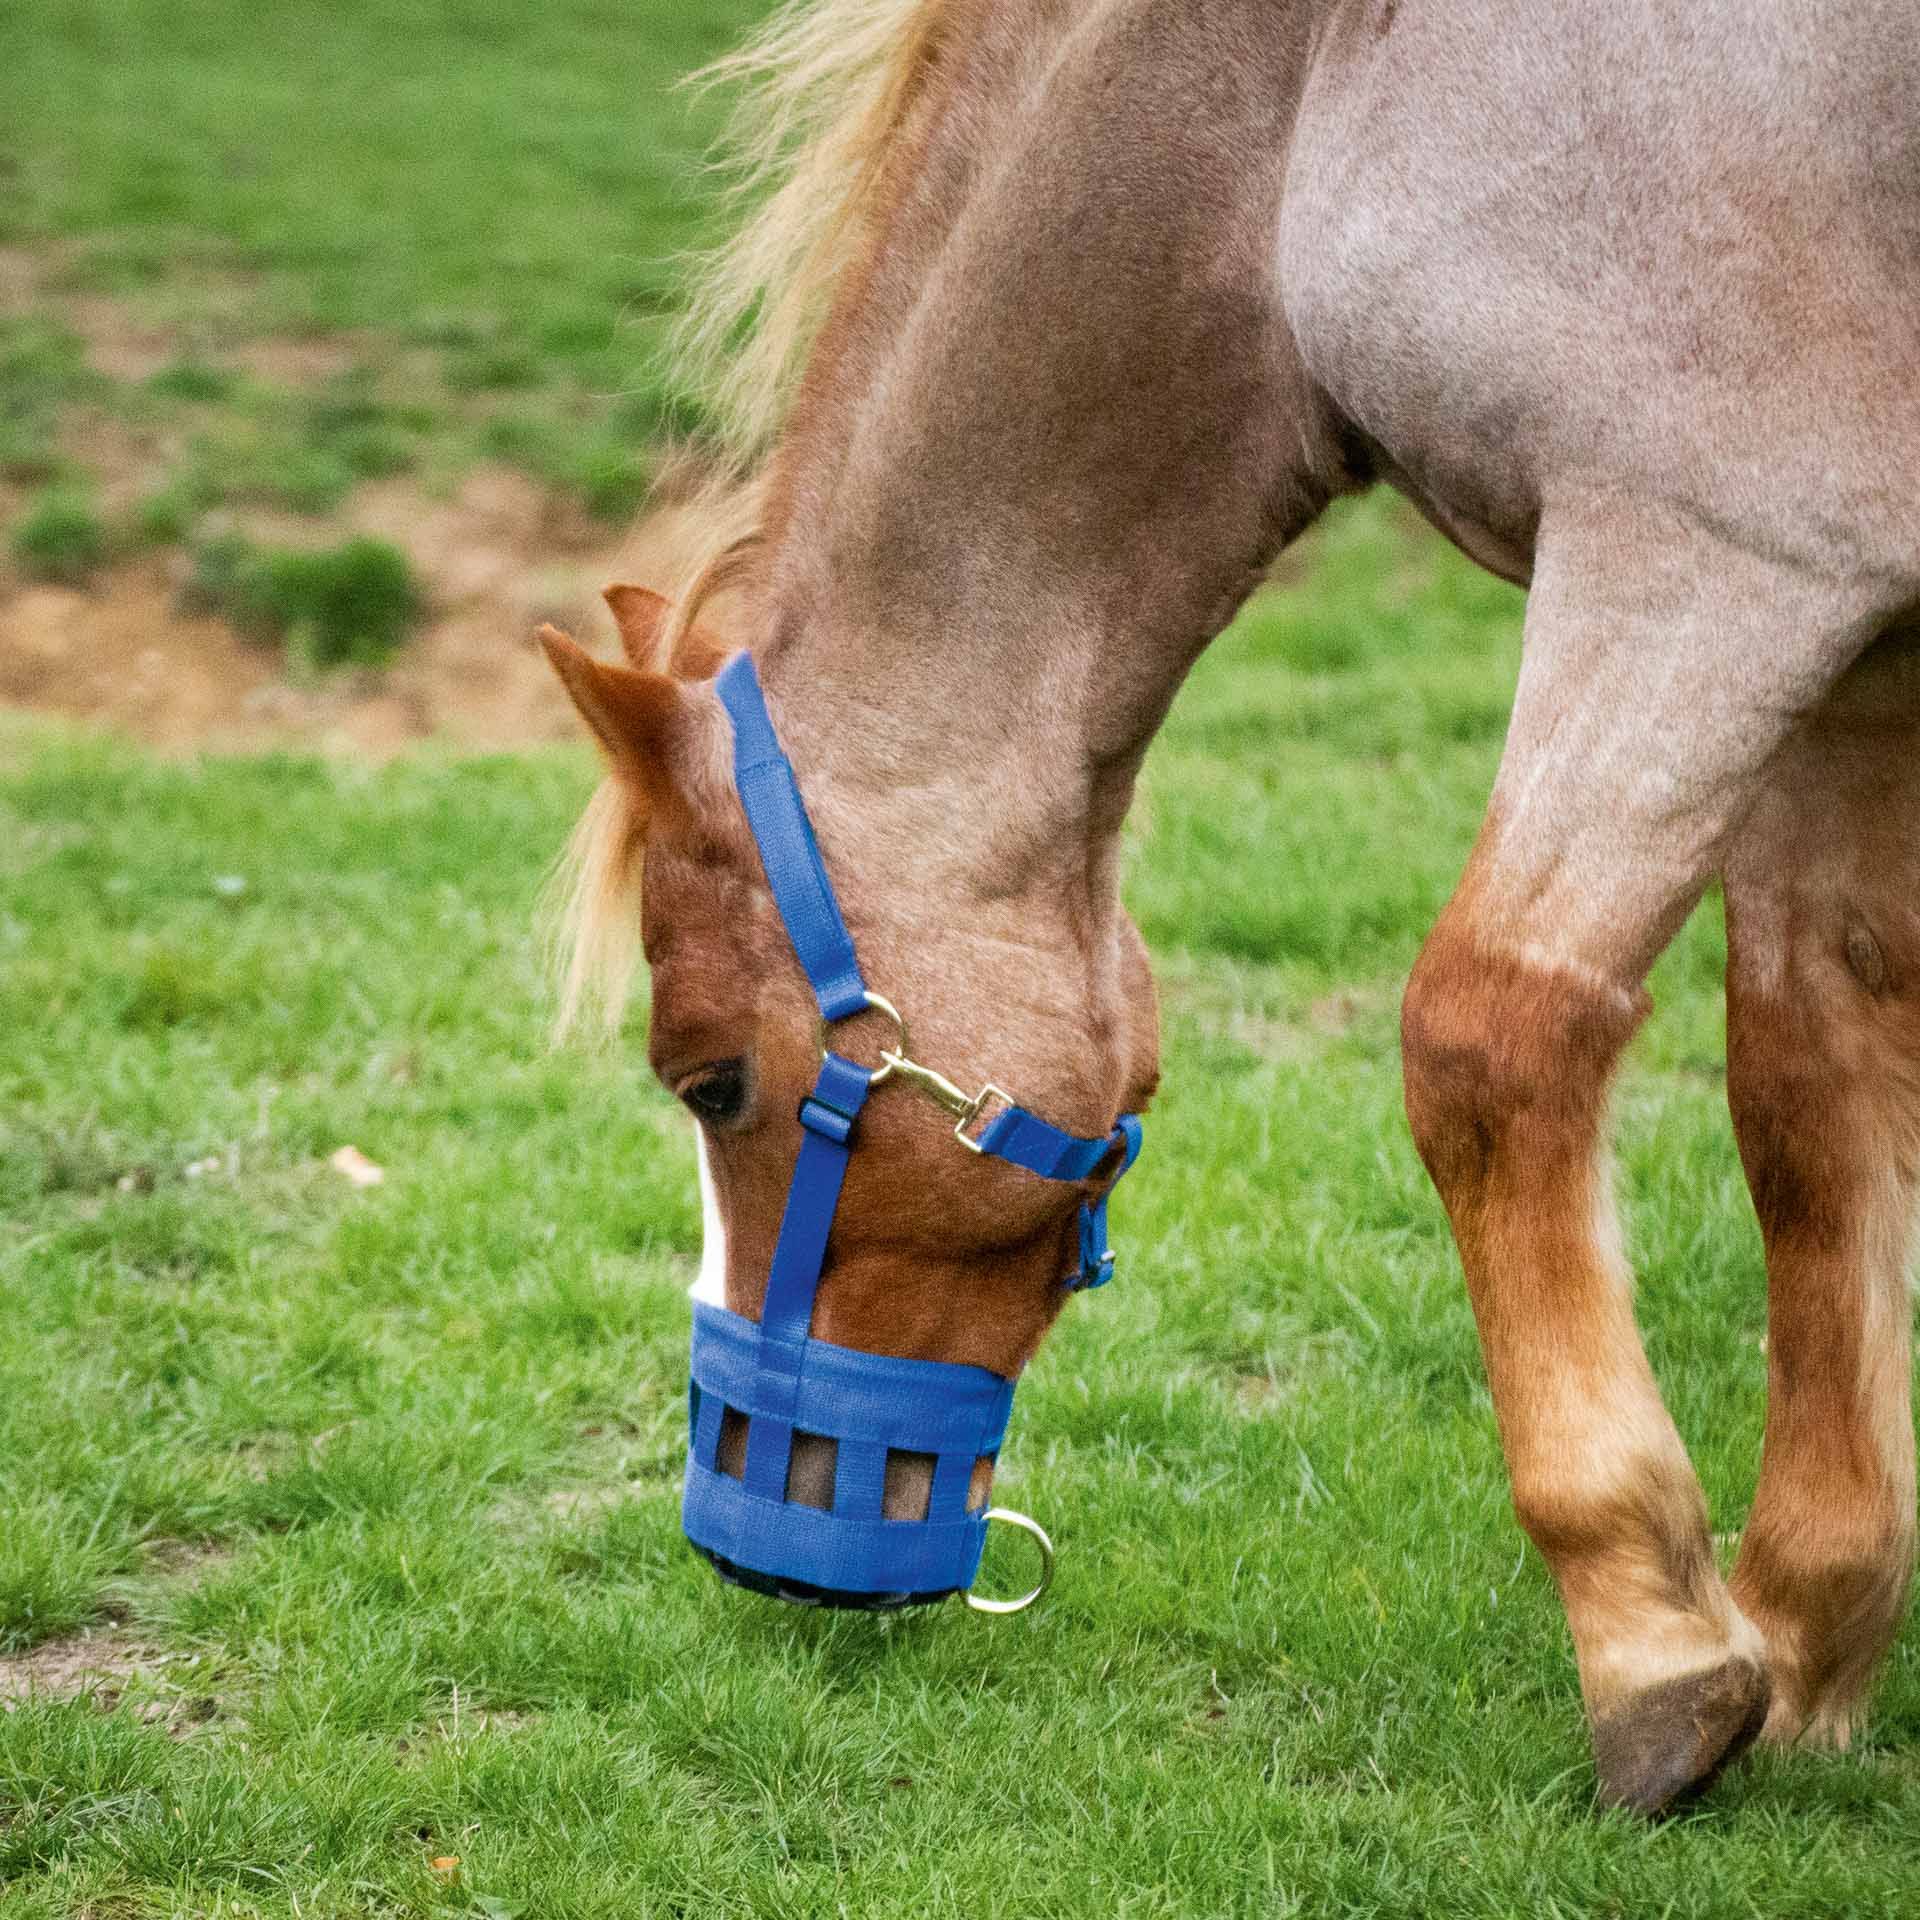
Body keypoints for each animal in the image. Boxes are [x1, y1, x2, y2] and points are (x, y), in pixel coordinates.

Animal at [537, 0, 1920, 1814]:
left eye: (712, 1085)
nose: (745, 1536)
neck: (1300, 97)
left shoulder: (1715, 557)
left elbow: (1490, 1034)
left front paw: (1652, 1640)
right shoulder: (1853, 652)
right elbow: (1809, 1082)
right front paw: (1815, 1623)